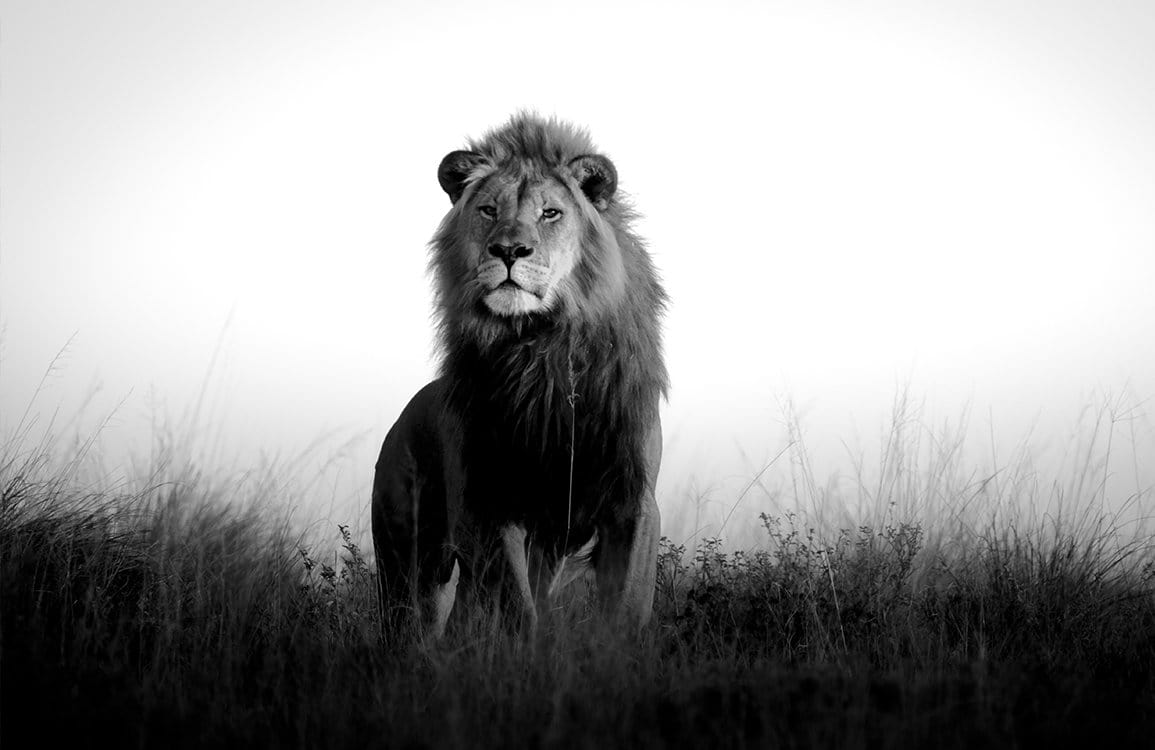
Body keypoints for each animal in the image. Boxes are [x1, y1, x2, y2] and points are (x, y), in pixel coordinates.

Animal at [371, 113, 668, 638]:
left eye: (551, 213)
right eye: (489, 210)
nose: (509, 250)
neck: (540, 348)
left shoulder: (632, 500)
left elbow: (628, 605)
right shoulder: (492, 500)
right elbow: (517, 607)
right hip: (407, 560)